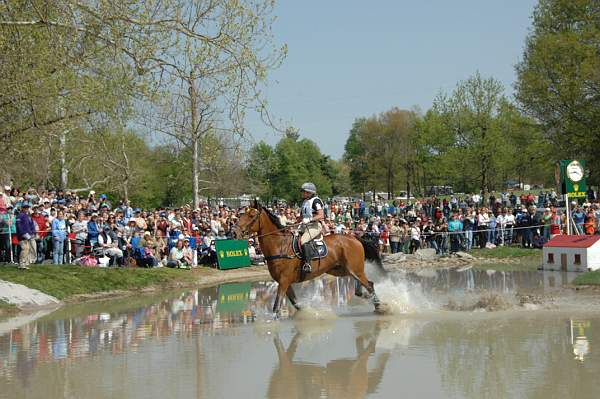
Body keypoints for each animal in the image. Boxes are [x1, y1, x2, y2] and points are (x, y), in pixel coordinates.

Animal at [234, 203, 384, 316]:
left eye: (251, 215)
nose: (235, 232)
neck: (280, 245)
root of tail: (355, 238)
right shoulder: (285, 283)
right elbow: (296, 304)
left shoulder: (284, 281)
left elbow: (276, 306)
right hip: (342, 270)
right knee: (363, 285)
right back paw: (367, 297)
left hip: (354, 269)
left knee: (369, 285)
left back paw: (379, 306)